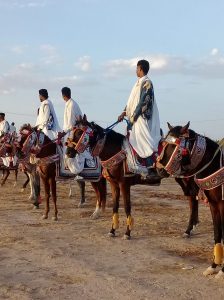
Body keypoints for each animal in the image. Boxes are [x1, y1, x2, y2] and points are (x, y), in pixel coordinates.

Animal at [156, 121, 224, 278]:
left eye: (175, 146)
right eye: (163, 143)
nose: (159, 168)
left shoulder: (222, 205)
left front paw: (222, 271)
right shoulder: (214, 205)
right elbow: (217, 234)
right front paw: (213, 266)